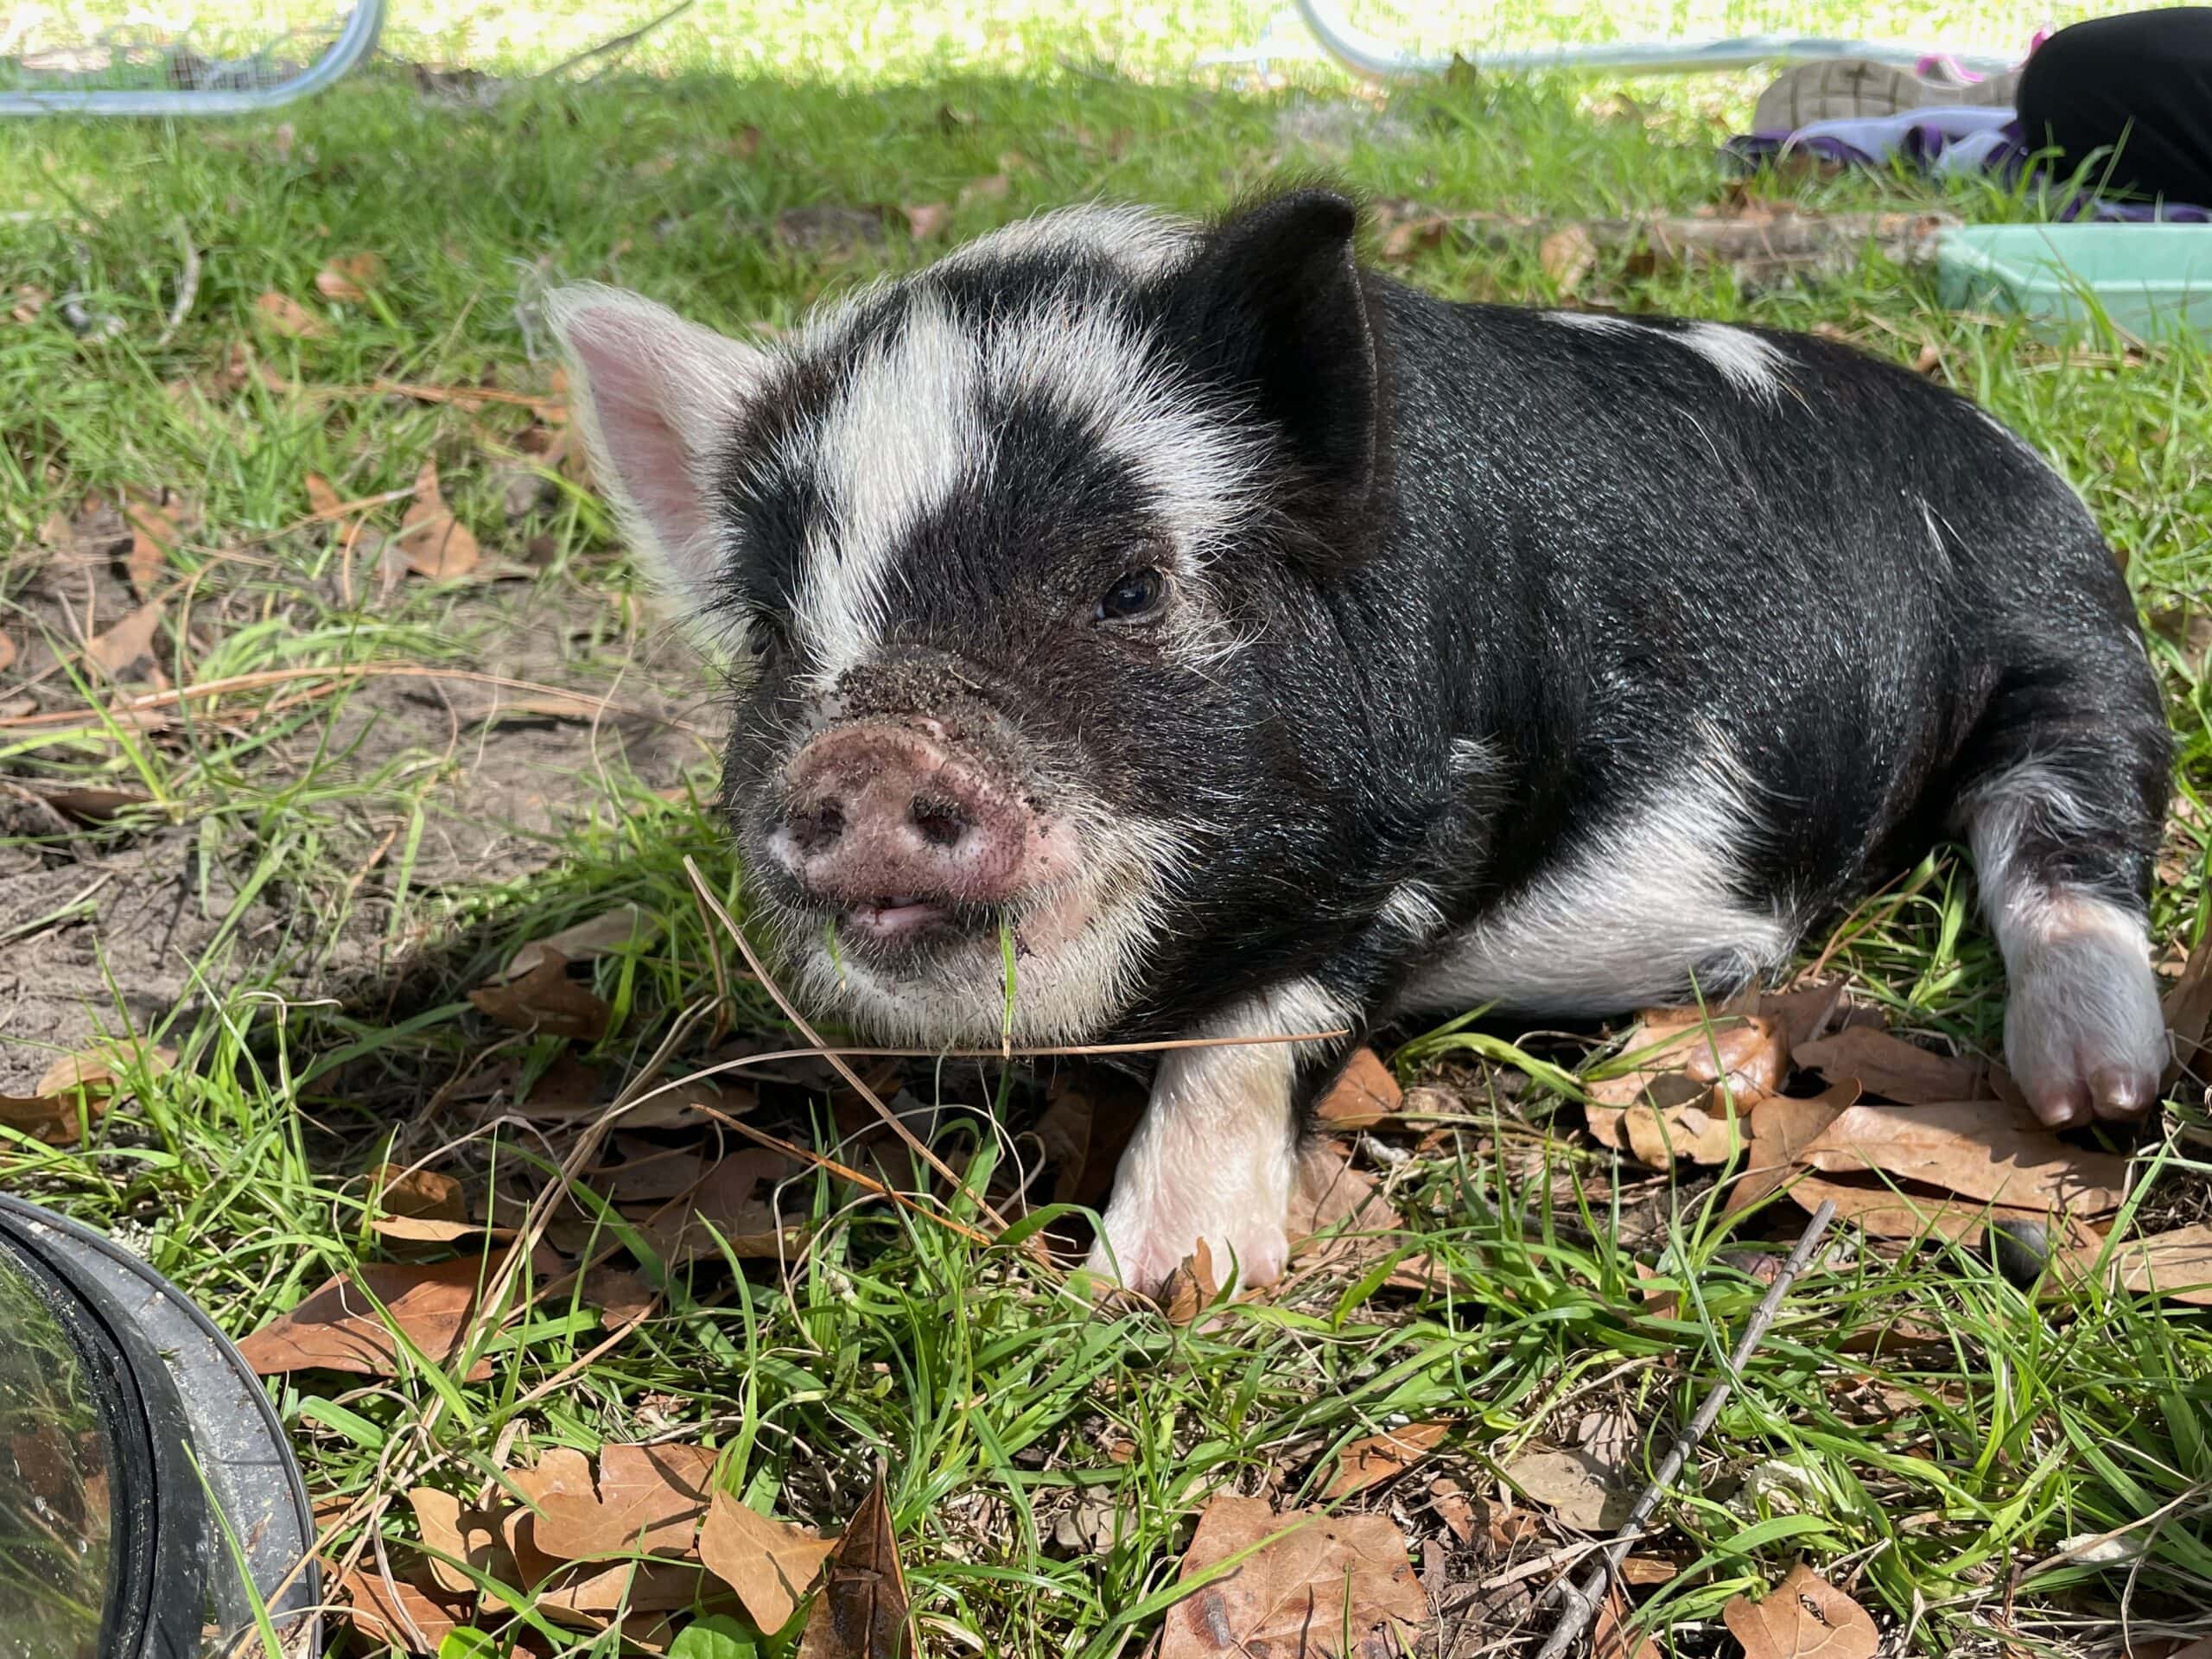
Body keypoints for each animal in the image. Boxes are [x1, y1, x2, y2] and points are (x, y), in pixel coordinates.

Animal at [543, 188, 2167, 1292]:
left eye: (1131, 586)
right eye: (771, 632)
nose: (871, 753)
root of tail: (2006, 442)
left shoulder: (1435, 813)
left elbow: (1256, 1029)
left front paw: (1162, 1289)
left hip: (2071, 626)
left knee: (2076, 828)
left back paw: (2095, 1095)